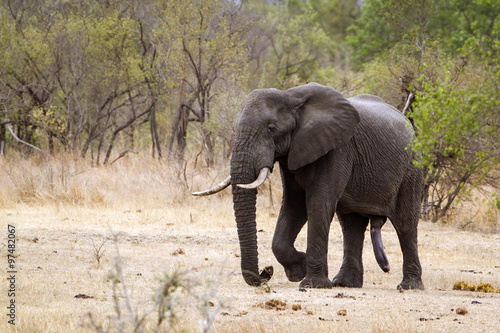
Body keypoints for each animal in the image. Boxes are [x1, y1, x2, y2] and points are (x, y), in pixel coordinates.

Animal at [193, 82, 424, 288]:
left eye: (271, 129)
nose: (266, 271)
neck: (290, 96)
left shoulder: (338, 148)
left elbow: (318, 204)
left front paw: (312, 283)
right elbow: (294, 206)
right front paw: (299, 270)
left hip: (412, 168)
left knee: (405, 224)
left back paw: (408, 286)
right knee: (351, 224)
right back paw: (345, 283)